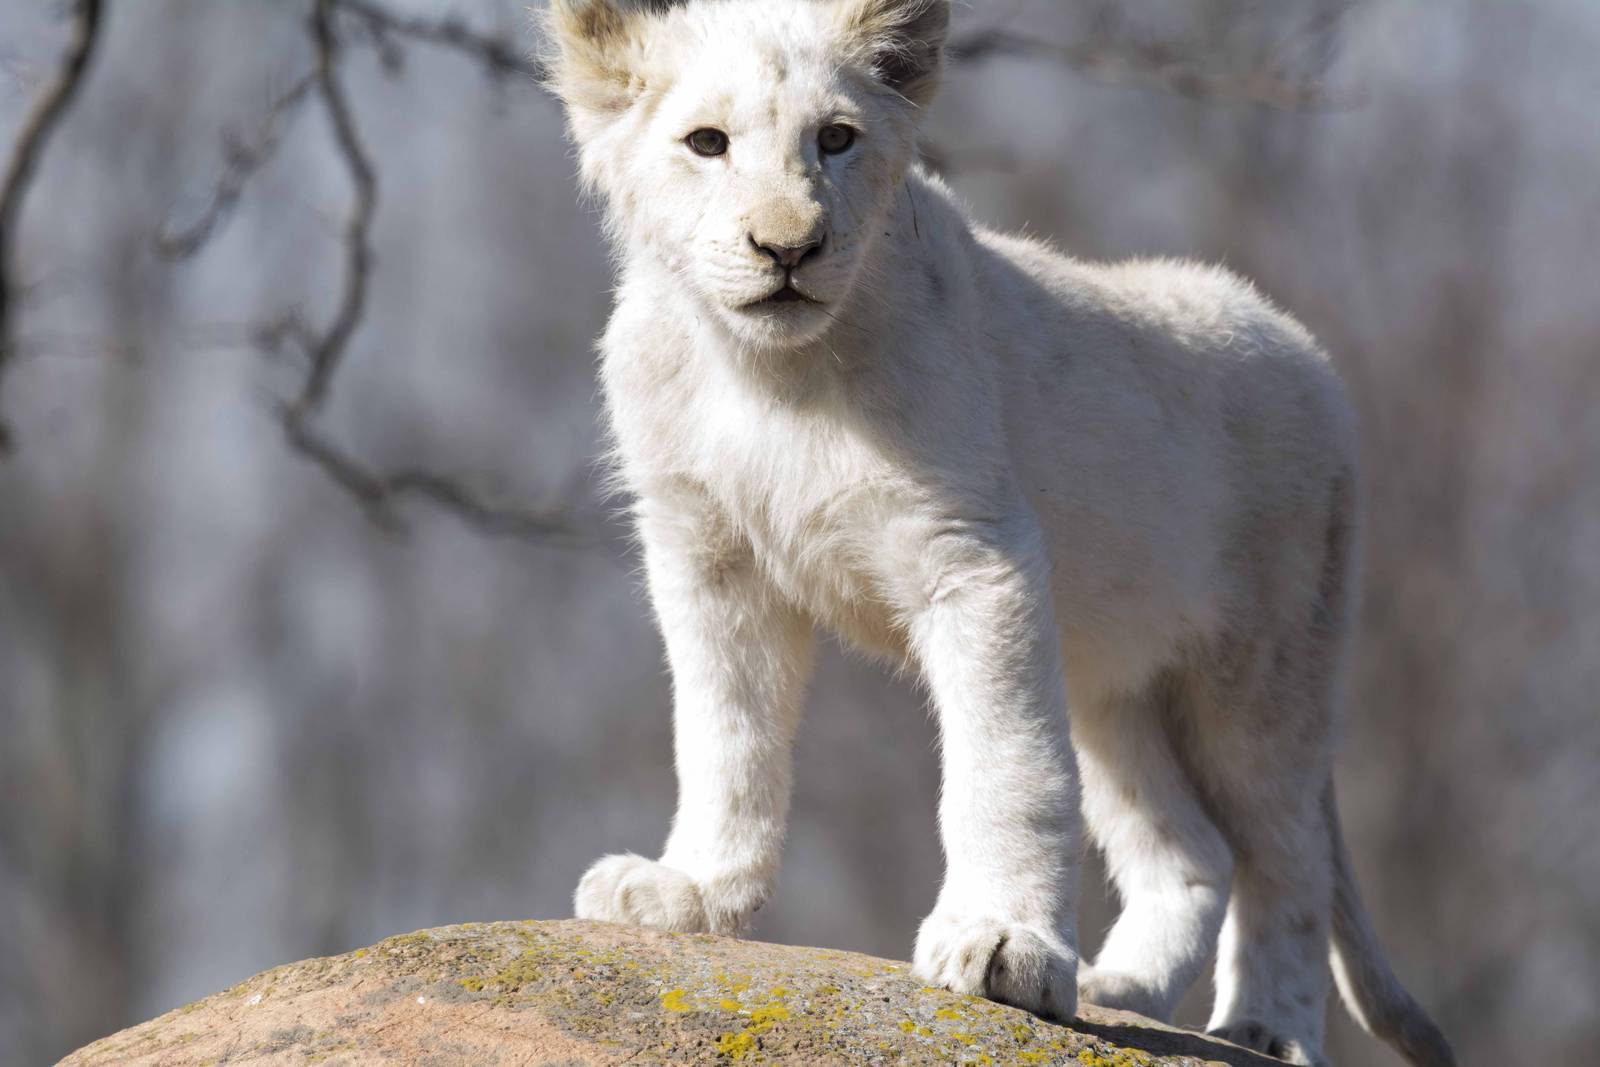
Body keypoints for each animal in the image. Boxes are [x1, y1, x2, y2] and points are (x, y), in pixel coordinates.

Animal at [544, 2, 1454, 1064]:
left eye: (836, 140)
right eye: (706, 143)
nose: (789, 248)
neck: (765, 374)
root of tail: (1312, 356)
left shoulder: (975, 555)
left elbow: (1002, 763)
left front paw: (1005, 945)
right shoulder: (707, 556)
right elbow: (726, 735)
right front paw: (691, 893)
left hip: (1264, 671)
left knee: (1289, 854)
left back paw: (1267, 1025)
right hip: (1117, 681)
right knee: (1193, 848)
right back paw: (1124, 986)